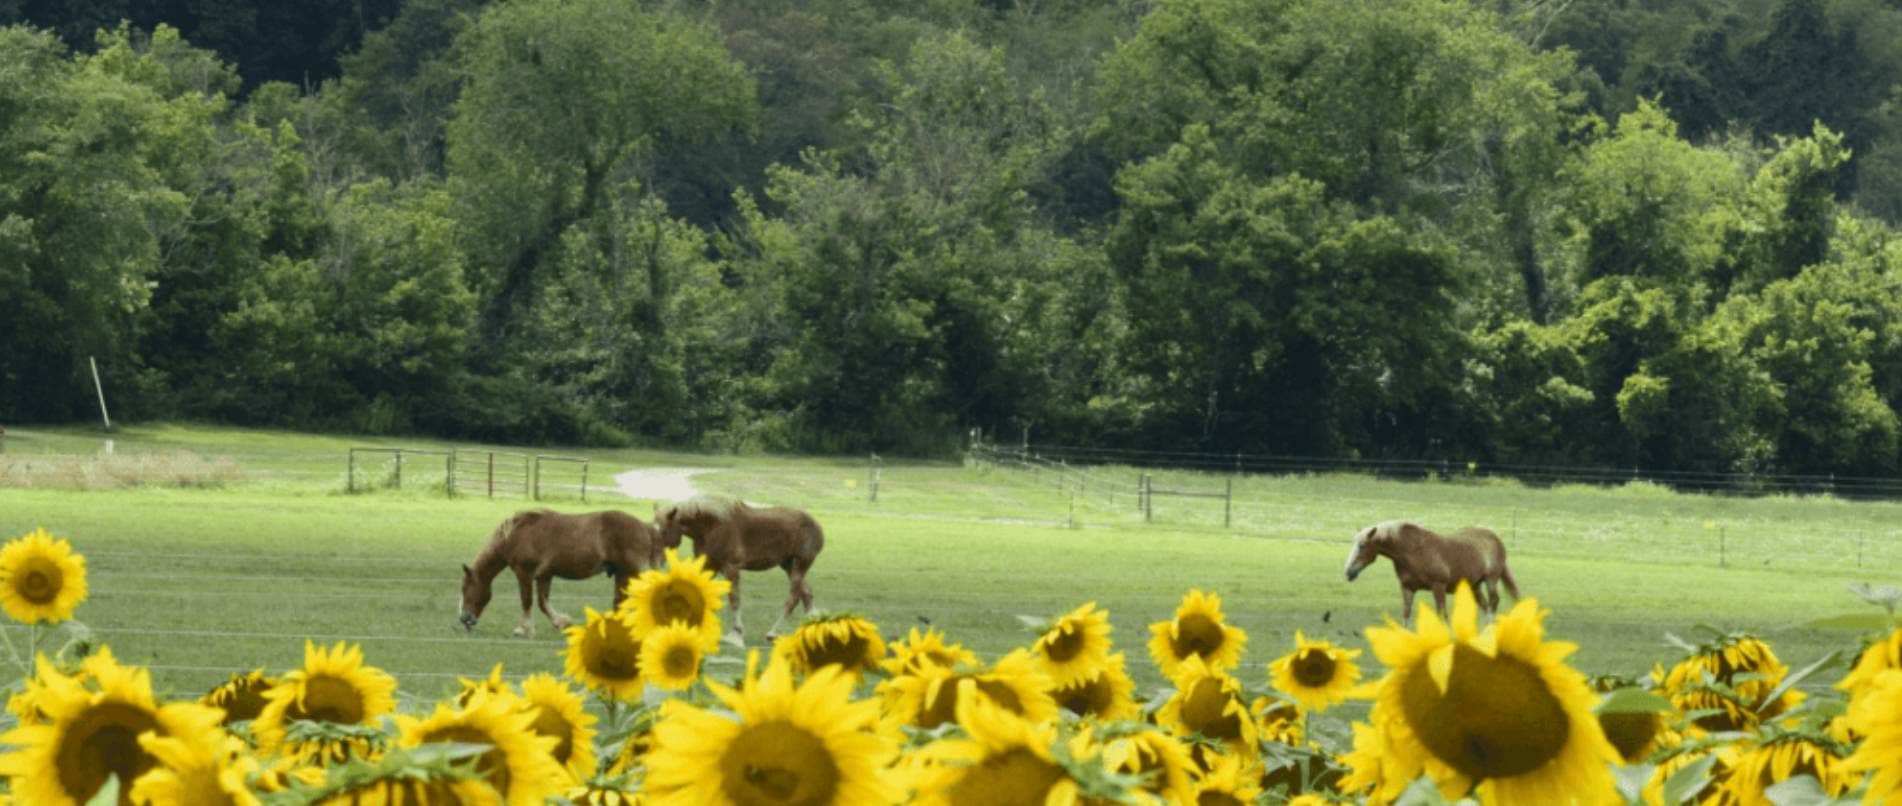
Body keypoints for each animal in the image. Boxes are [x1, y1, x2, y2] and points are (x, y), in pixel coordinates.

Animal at [456, 509, 665, 634]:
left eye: (466, 588)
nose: (464, 619)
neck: (516, 535)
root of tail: (645, 527)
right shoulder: (544, 576)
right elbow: (543, 603)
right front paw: (561, 622)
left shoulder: (524, 573)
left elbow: (527, 601)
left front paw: (523, 629)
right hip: (623, 574)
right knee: (619, 601)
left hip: (631, 571)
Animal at [654, 494, 825, 638]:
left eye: (663, 531)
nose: (657, 561)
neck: (712, 526)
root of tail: (817, 526)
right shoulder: (709, 566)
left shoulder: (731, 568)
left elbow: (734, 598)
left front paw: (736, 632)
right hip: (789, 566)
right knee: (806, 594)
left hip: (800, 565)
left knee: (794, 598)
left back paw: (773, 633)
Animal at [1346, 520, 1521, 627]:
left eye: (1362, 546)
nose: (1348, 572)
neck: (1413, 551)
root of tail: (1493, 536)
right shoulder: (1407, 588)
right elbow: (1406, 615)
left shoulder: (1438, 587)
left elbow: (1442, 615)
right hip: (1475, 586)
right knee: (1485, 606)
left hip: (1491, 580)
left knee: (1493, 602)